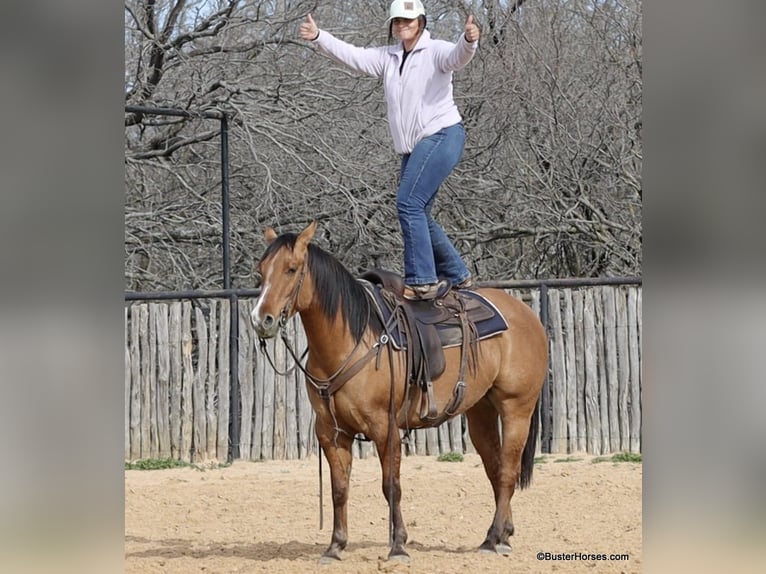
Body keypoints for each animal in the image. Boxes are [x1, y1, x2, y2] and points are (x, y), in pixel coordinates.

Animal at [254, 223, 552, 564]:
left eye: (291, 269)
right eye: (261, 271)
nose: (261, 319)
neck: (352, 339)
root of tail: (527, 315)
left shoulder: (385, 427)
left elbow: (391, 485)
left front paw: (397, 545)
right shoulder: (330, 431)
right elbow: (339, 488)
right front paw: (335, 546)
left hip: (517, 409)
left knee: (508, 471)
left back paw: (495, 539)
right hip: (481, 411)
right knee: (496, 468)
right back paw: (501, 534)